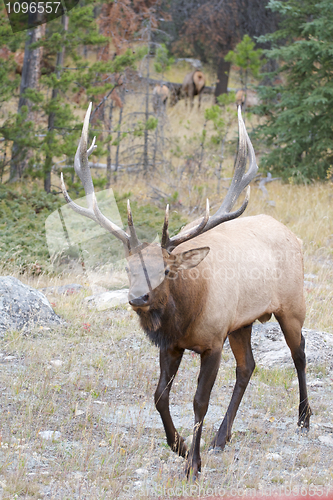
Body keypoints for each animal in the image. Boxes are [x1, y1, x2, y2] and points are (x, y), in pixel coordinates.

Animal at [60, 103, 312, 478]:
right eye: (128, 268)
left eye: (165, 270)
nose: (138, 297)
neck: (186, 316)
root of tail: (294, 236)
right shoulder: (171, 345)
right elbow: (159, 396)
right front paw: (178, 446)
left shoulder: (212, 342)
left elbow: (199, 402)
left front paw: (193, 464)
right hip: (241, 322)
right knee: (248, 366)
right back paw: (221, 437)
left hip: (292, 305)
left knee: (299, 354)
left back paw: (304, 420)